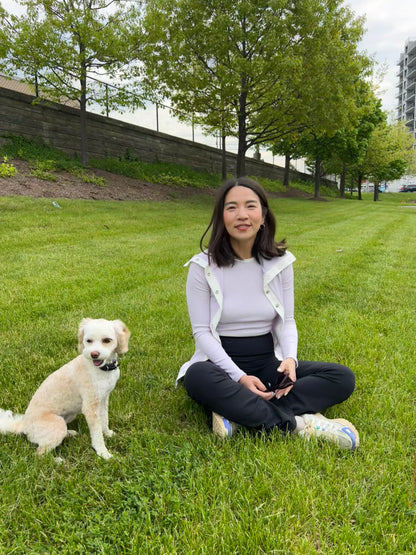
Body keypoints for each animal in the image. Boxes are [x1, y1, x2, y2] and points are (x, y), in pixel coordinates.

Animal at [0, 318, 130, 460]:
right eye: (88, 341)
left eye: (107, 340)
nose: (94, 354)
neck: (102, 369)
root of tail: (24, 425)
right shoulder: (90, 407)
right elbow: (96, 434)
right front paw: (103, 453)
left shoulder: (103, 399)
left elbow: (104, 419)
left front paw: (107, 433)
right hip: (57, 423)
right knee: (39, 454)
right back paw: (57, 460)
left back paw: (70, 433)